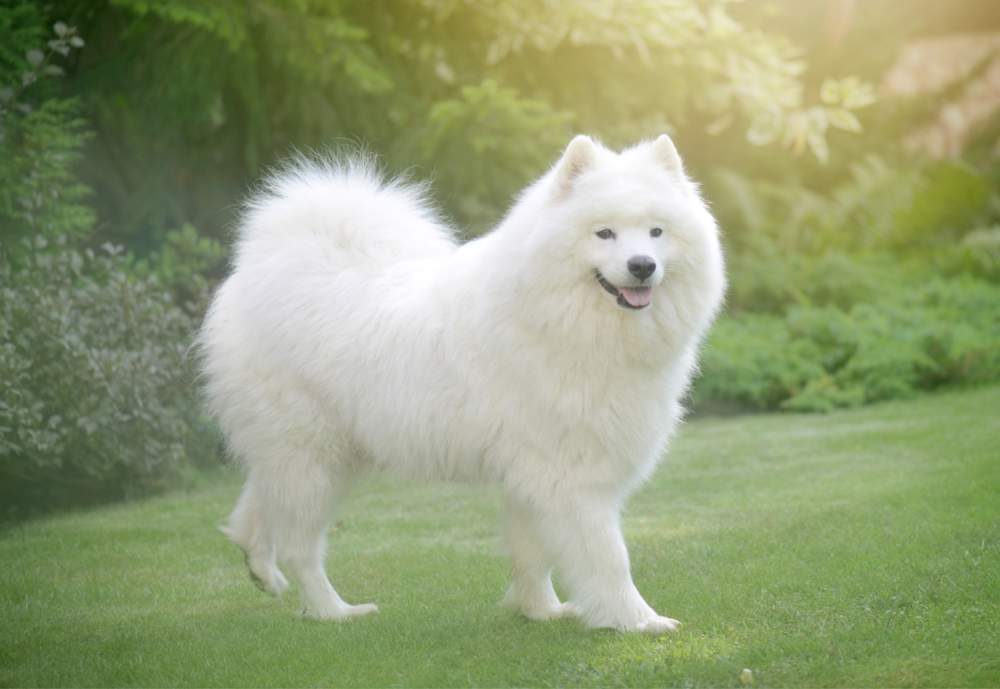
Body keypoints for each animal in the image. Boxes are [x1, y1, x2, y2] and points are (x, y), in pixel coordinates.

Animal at [197, 136, 728, 636]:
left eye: (657, 232)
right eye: (605, 233)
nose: (642, 265)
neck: (555, 319)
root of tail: (265, 267)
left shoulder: (531, 476)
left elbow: (531, 553)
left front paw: (541, 611)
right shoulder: (571, 477)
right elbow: (609, 559)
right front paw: (637, 621)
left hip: (314, 452)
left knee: (259, 497)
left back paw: (258, 564)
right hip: (313, 457)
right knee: (300, 546)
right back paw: (334, 611)